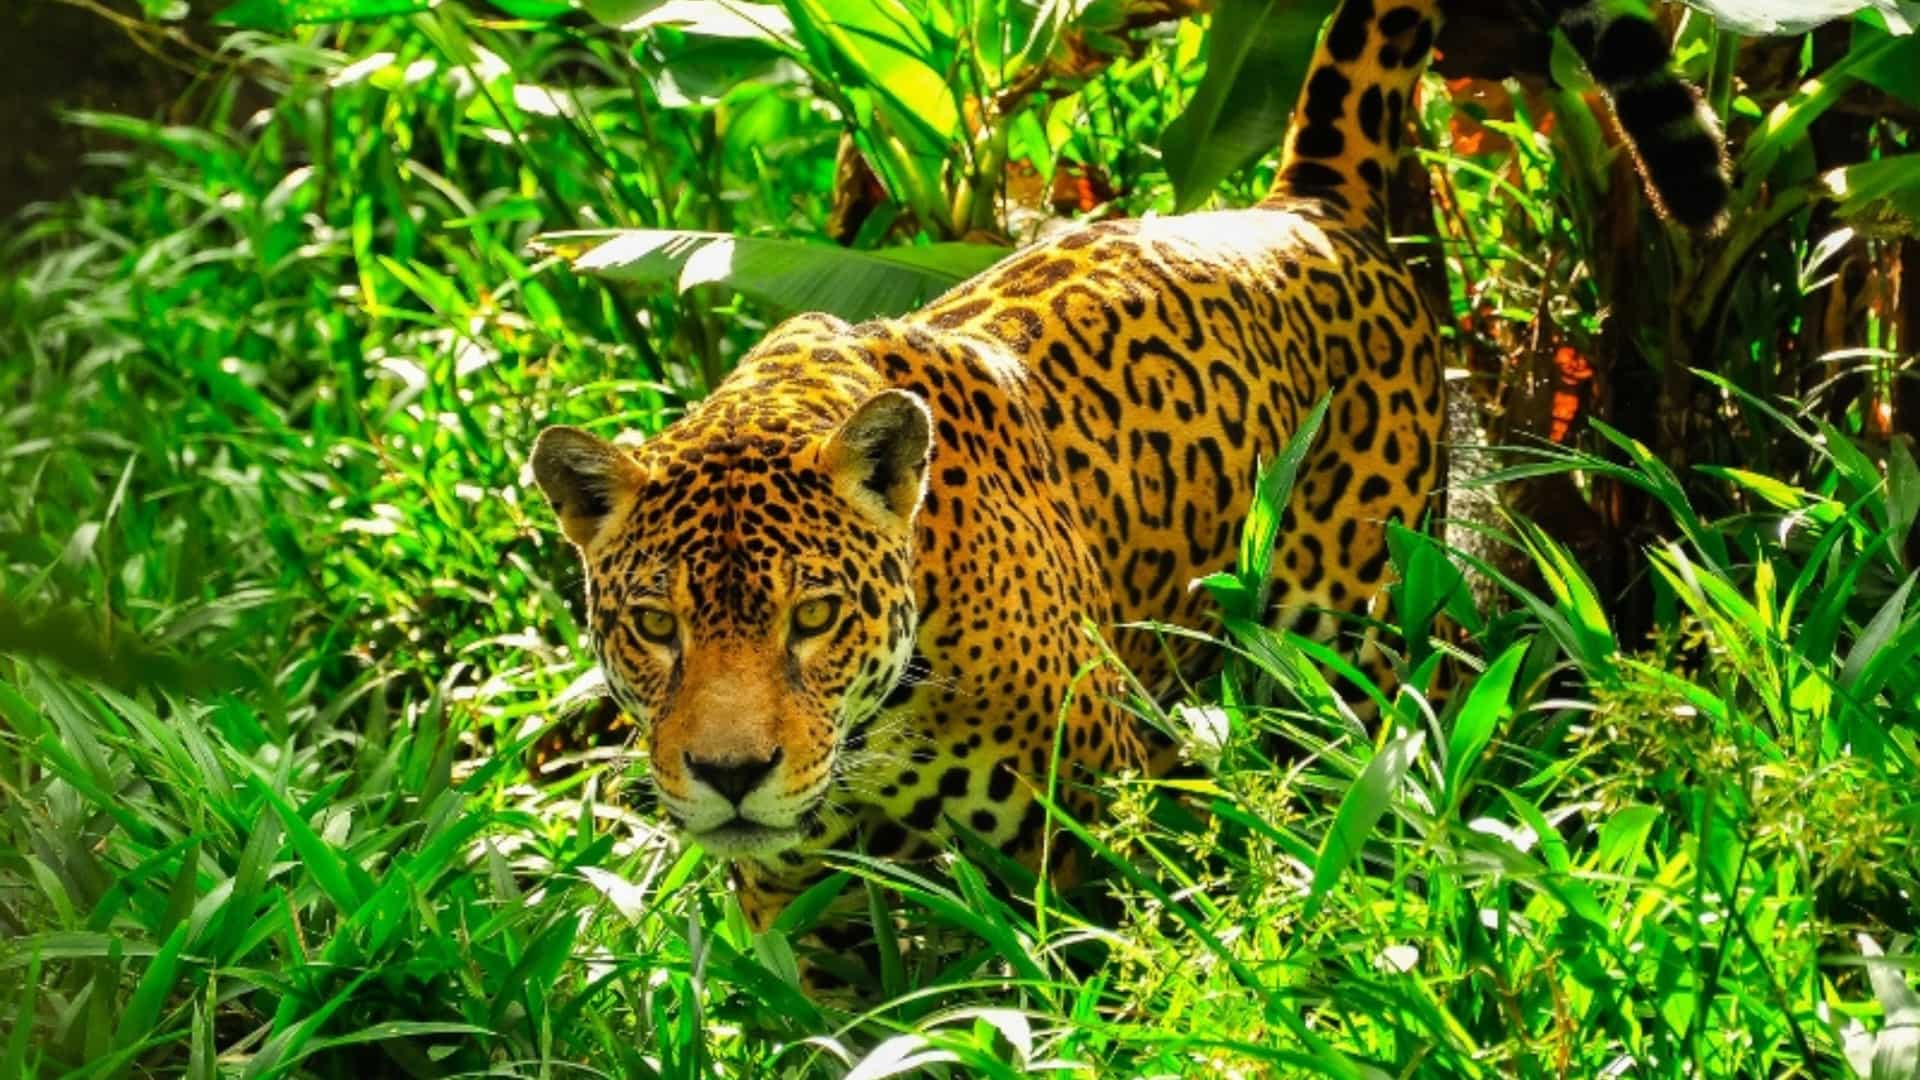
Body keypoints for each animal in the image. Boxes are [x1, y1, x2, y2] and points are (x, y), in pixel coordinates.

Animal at [529, 0, 1728, 935]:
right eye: (655, 626)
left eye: (813, 617)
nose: (731, 778)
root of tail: (1305, 204)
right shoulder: (801, 911)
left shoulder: (1092, 845)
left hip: (1364, 636)